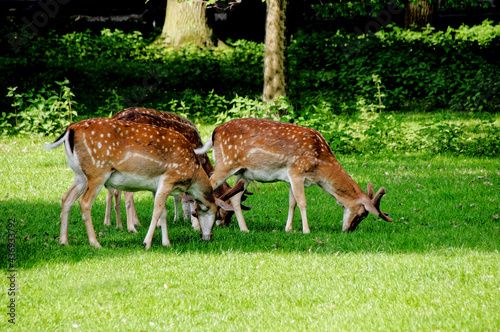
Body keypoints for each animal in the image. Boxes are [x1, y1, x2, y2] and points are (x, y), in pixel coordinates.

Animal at [43, 116, 244, 249]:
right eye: (218, 215)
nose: (207, 236)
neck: (193, 173)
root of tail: (70, 131)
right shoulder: (169, 178)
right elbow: (157, 211)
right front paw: (147, 242)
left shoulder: (157, 186)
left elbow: (163, 212)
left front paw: (166, 243)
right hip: (97, 170)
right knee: (84, 202)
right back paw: (95, 243)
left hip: (80, 175)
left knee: (66, 198)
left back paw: (64, 241)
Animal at [105, 107, 254, 232]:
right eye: (227, 211)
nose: (223, 224)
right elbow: (189, 197)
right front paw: (193, 223)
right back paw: (131, 226)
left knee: (114, 190)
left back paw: (116, 224)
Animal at [193, 118, 392, 235]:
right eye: (362, 214)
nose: (348, 230)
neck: (319, 166)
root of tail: (214, 132)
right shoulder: (297, 170)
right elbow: (302, 202)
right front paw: (306, 230)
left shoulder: (291, 177)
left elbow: (292, 203)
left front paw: (288, 229)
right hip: (226, 163)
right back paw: (196, 226)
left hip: (242, 172)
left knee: (235, 198)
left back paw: (245, 229)